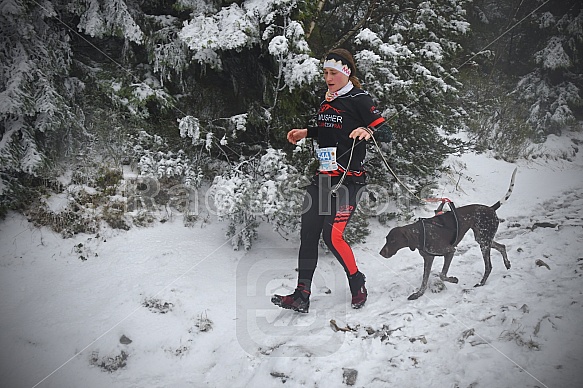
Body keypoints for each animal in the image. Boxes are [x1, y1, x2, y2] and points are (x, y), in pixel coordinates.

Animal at [380, 167, 516, 300]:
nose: (381, 253)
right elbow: (424, 281)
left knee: (489, 267)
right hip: (482, 239)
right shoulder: (428, 258)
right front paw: (419, 294)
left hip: (484, 242)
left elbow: (442, 275)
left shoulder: (450, 251)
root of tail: (491, 208)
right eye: (386, 239)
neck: (420, 233)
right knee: (502, 246)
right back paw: (507, 263)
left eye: (393, 240)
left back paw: (481, 283)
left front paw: (453, 280)